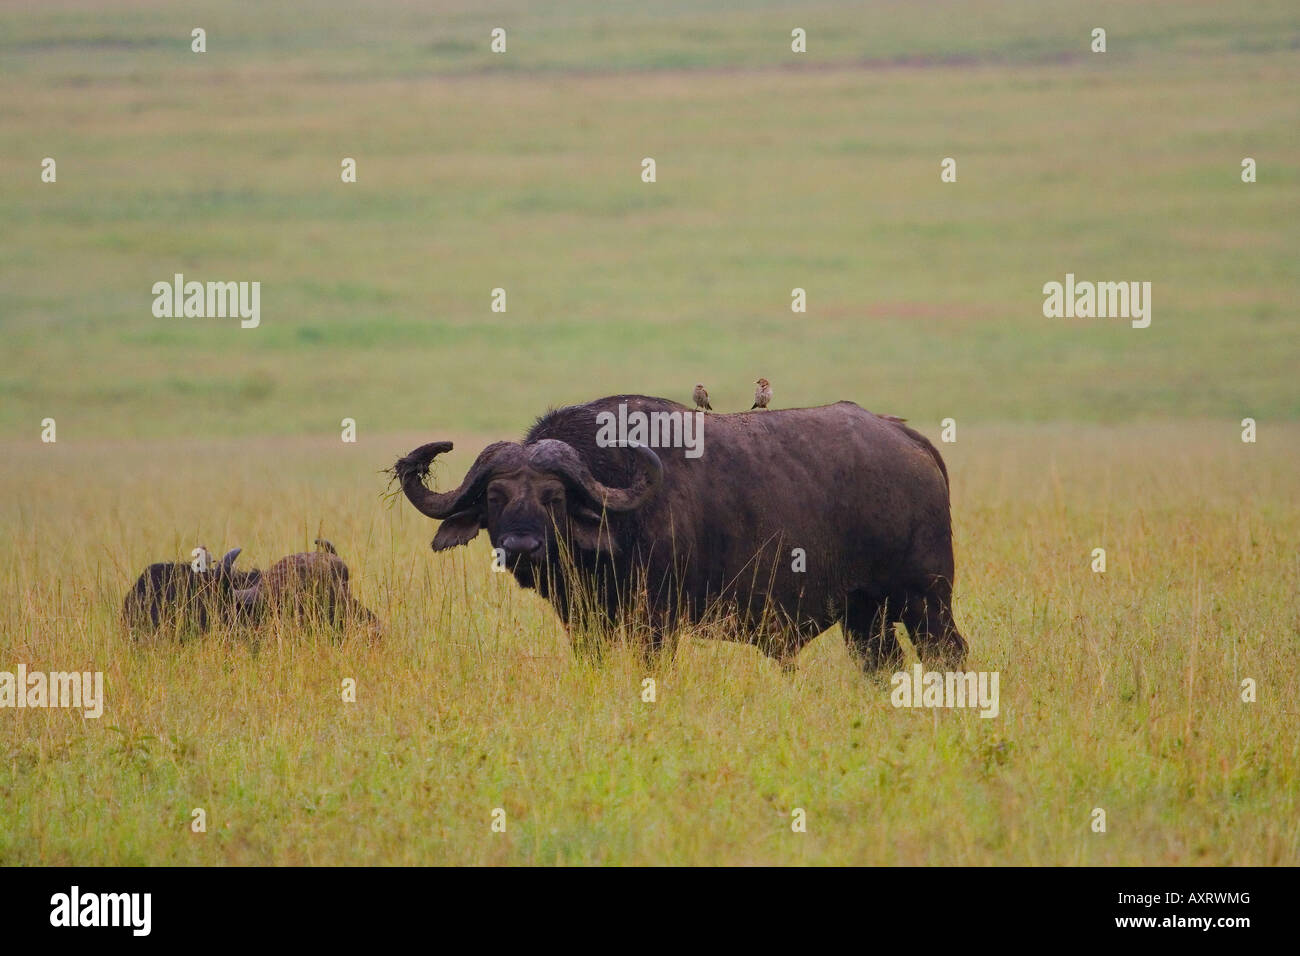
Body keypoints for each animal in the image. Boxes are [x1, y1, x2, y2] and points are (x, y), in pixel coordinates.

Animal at [390, 392, 972, 671]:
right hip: (864, 615)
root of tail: (910, 440)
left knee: (950, 653)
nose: (521, 547)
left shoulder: (658, 624)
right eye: (495, 498)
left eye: (554, 497)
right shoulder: (585, 625)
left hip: (927, 602)